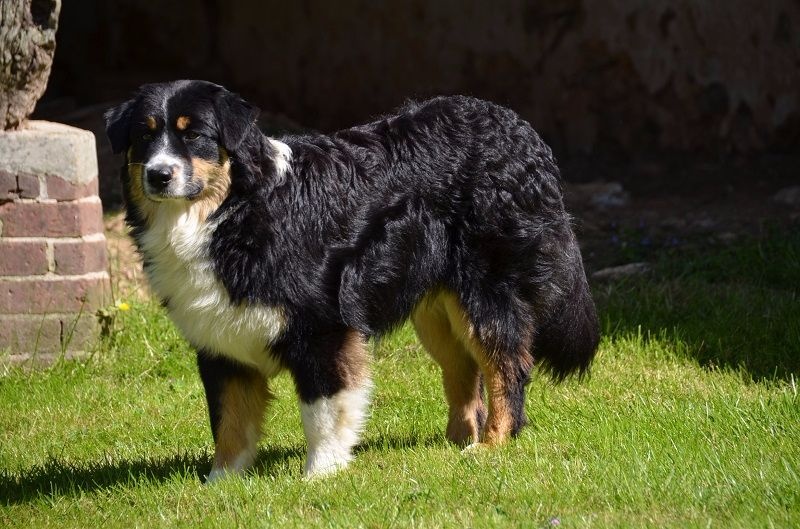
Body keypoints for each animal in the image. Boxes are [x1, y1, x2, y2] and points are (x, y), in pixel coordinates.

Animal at [103, 79, 596, 482]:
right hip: (435, 311)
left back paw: (491, 446)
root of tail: (516, 125)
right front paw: (221, 484)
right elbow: (230, 421)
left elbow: (323, 410)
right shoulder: (221, 342)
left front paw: (321, 473)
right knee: (464, 370)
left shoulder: (323, 330)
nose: (159, 174)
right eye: (144, 135)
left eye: (194, 135)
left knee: (506, 366)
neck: (232, 212)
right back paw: (451, 446)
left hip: (485, 293)